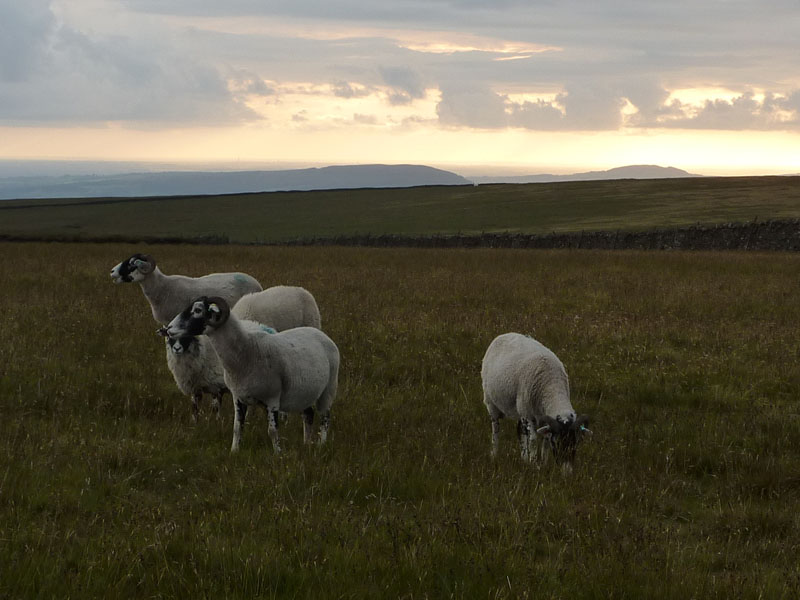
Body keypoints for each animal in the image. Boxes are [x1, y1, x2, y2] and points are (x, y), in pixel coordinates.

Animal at [164, 296, 340, 454]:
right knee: (309, 415)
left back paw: (321, 445)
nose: (168, 329)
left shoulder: (272, 399)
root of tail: (321, 334)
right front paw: (234, 451)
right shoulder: (238, 397)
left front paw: (279, 454)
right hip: (305, 392)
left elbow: (272, 431)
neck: (247, 351)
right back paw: (306, 444)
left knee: (325, 418)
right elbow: (237, 428)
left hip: (328, 389)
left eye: (198, 310)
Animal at [478, 330, 592, 472]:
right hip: (492, 403)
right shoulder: (528, 414)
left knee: (520, 431)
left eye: (576, 443)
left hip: (519, 408)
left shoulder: (542, 418)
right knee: (496, 429)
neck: (551, 386)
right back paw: (495, 454)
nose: (567, 471)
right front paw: (533, 464)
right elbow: (532, 441)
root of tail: (505, 334)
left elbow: (544, 441)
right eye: (557, 442)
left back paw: (523, 457)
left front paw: (543, 463)